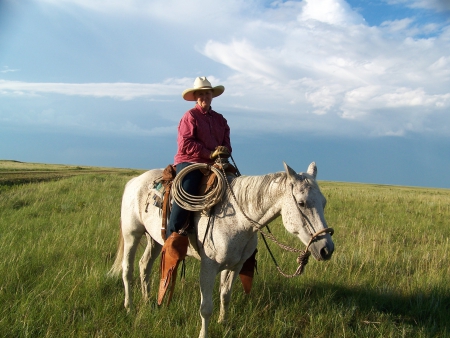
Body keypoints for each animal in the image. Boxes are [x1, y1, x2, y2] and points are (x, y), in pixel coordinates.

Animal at [109, 162, 334, 338]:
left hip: (155, 240)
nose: (326, 249)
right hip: (132, 234)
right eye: (302, 203)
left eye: (324, 202)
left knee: (144, 266)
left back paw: (148, 302)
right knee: (128, 269)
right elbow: (206, 308)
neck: (240, 219)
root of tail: (135, 181)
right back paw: (129, 306)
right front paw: (204, 334)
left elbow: (225, 295)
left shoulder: (235, 265)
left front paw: (223, 325)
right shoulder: (208, 267)